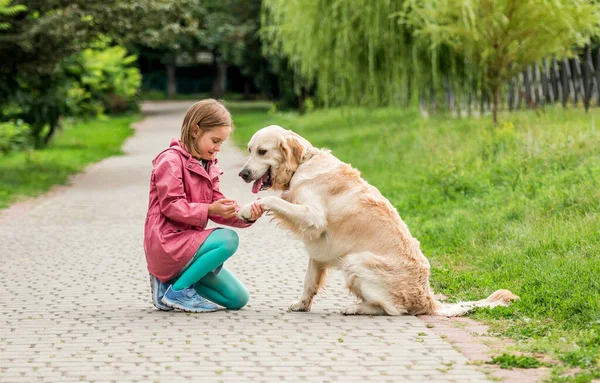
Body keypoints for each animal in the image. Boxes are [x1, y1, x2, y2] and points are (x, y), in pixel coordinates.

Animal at [237, 124, 516, 316]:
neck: (303, 164)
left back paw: (356, 308)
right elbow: (309, 281)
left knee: (393, 309)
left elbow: (272, 201)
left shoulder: (314, 218)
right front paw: (301, 304)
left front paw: (248, 209)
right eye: (249, 150)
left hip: (355, 261)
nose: (242, 174)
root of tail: (428, 300)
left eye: (262, 151)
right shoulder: (318, 247)